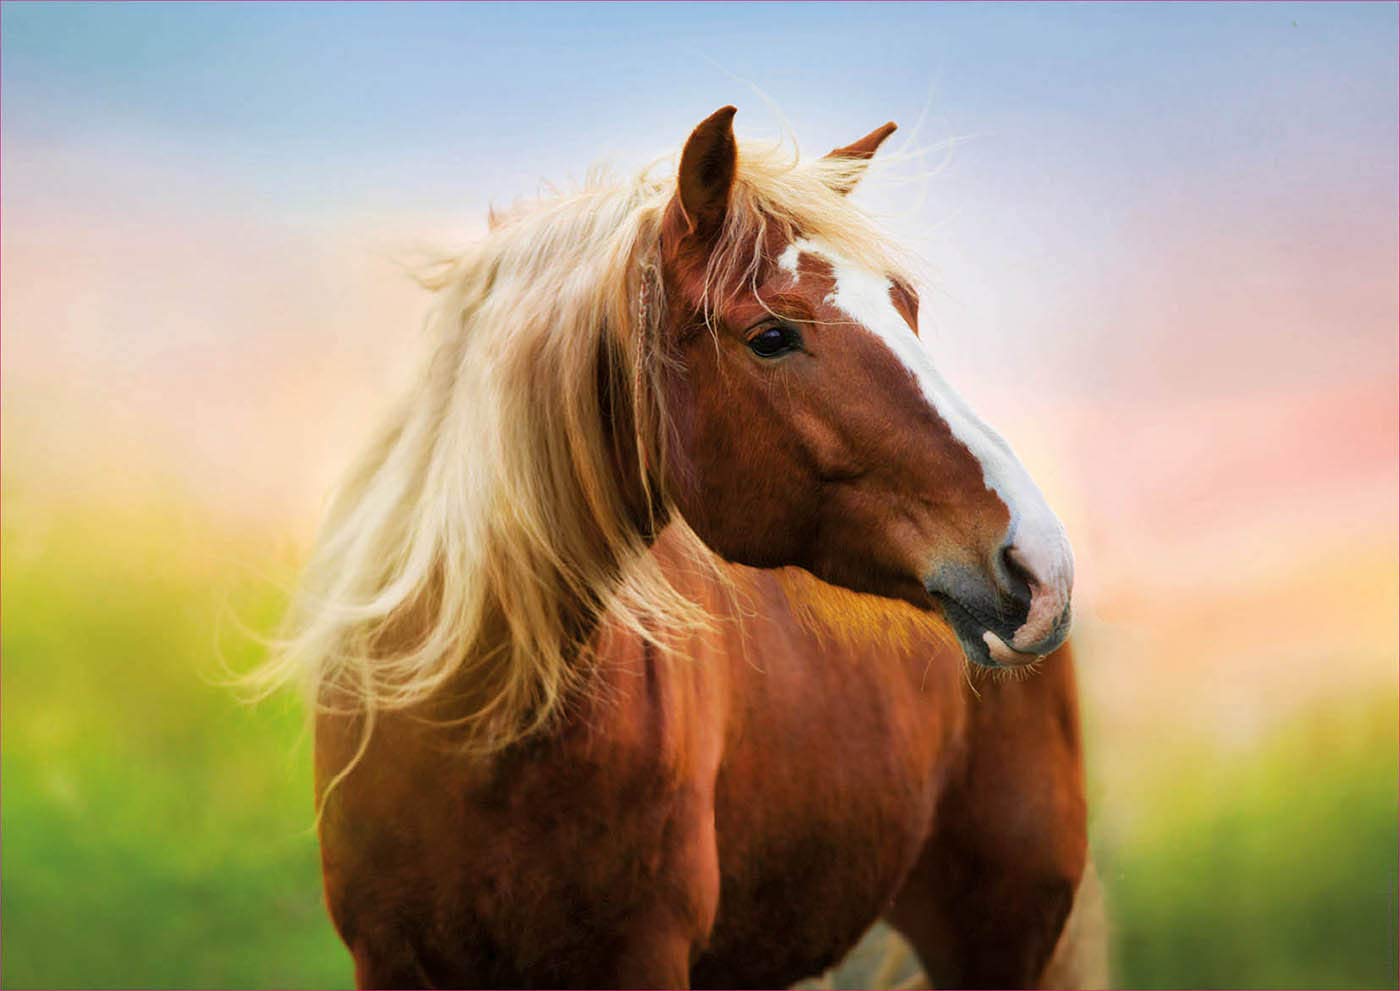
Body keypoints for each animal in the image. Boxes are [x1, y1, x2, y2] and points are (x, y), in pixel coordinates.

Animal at [270, 106, 1092, 989]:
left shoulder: (643, 953)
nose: (1040, 562)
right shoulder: (387, 955)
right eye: (771, 336)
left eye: (905, 305)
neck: (477, 732)